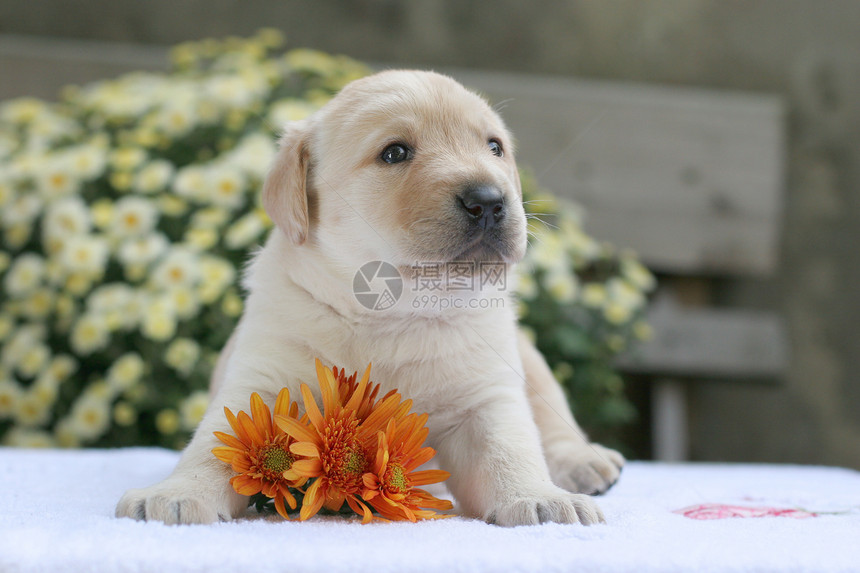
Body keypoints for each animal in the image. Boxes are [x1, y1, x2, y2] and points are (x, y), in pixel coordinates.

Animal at [116, 69, 624, 524]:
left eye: (494, 147)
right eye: (395, 152)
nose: (490, 200)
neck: (390, 314)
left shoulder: (486, 397)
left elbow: (509, 448)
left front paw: (539, 498)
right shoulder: (256, 383)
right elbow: (214, 447)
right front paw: (175, 494)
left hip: (527, 359)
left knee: (552, 419)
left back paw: (584, 462)